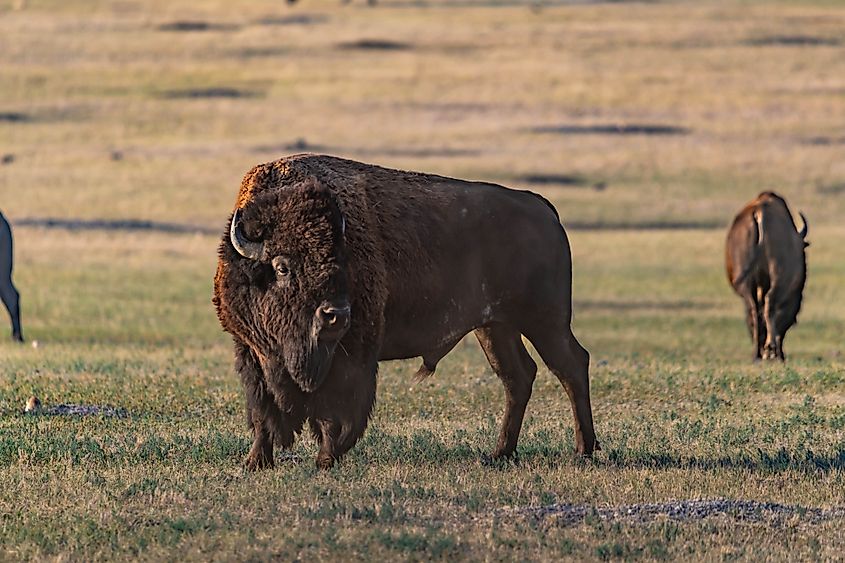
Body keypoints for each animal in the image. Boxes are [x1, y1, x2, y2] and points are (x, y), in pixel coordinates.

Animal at [213, 154, 598, 470]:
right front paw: (255, 462)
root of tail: (543, 209)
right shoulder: (253, 353)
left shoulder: (349, 356)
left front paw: (326, 459)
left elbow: (335, 412)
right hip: (496, 327)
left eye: (340, 261)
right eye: (282, 267)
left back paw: (584, 450)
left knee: (570, 366)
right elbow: (263, 411)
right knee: (518, 376)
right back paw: (500, 453)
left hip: (545, 321)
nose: (336, 314)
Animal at [725, 192, 808, 361]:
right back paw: (772, 349)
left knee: (754, 311)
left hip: (746, 285)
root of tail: (759, 213)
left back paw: (757, 353)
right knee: (768, 305)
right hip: (778, 280)